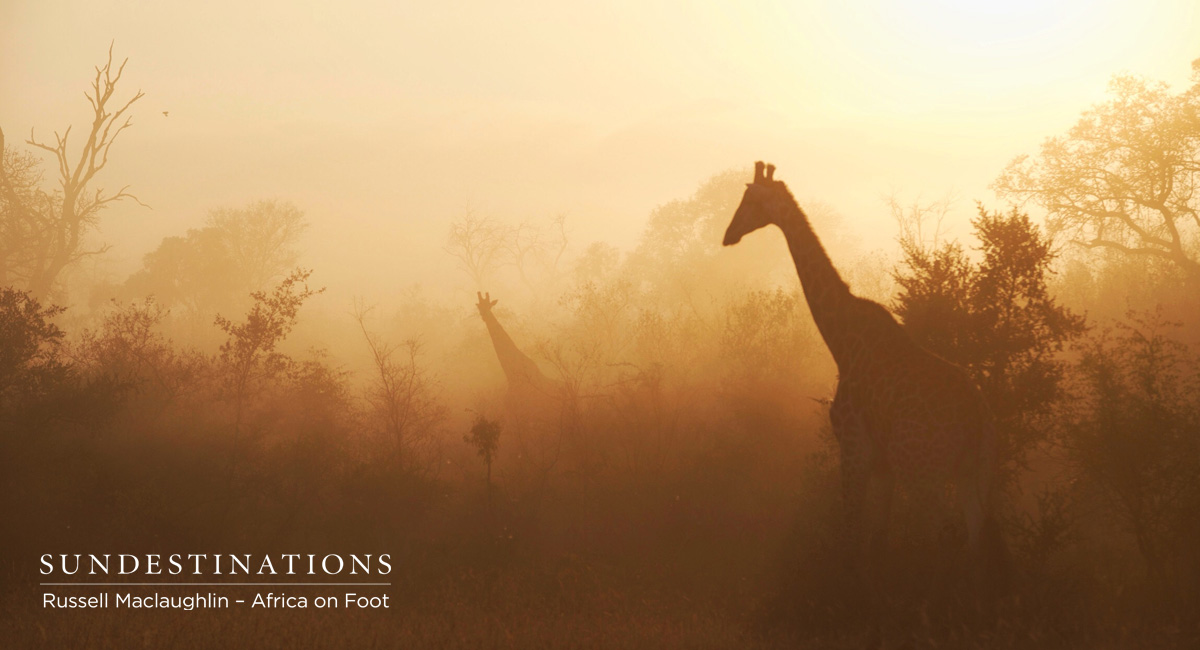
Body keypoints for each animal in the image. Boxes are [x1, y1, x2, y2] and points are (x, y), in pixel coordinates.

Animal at [723, 162, 1006, 595]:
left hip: (924, 471)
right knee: (975, 540)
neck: (841, 340)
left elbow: (851, 532)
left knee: (943, 537)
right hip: (978, 470)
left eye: (750, 199)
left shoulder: (855, 448)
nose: (728, 235)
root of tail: (977, 415)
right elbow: (878, 539)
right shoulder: (884, 463)